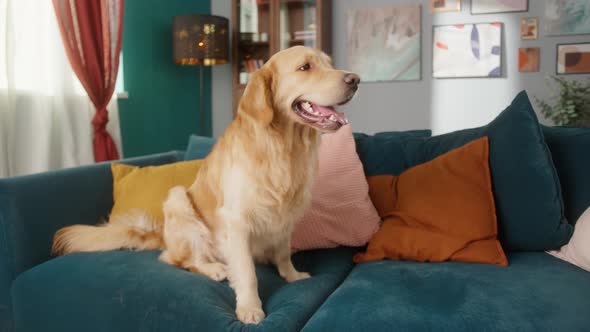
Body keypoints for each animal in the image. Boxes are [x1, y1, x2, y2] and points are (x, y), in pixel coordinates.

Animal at [52, 46, 360, 324]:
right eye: (305, 67)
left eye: (329, 62)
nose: (355, 79)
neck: (283, 148)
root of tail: (161, 235)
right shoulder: (236, 222)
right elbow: (247, 273)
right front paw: (249, 308)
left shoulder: (286, 218)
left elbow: (283, 253)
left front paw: (292, 275)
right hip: (178, 200)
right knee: (179, 260)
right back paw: (214, 269)